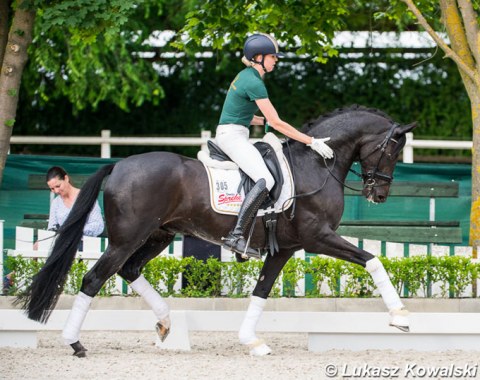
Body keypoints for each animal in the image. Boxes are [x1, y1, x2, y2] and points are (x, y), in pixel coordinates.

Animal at [17, 106, 416, 356]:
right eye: (392, 151)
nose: (379, 194)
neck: (316, 164)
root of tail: (118, 165)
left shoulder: (286, 248)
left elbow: (261, 291)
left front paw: (252, 341)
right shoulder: (318, 237)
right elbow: (372, 259)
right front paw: (400, 316)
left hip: (158, 235)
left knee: (129, 270)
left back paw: (165, 323)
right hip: (127, 238)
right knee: (94, 278)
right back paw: (75, 343)